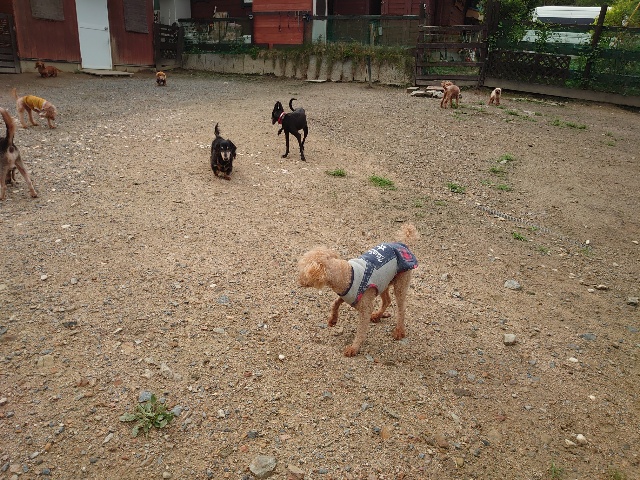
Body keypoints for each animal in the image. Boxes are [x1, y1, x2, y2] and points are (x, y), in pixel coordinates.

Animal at [298, 224, 419, 357]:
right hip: (384, 282)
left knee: (401, 308)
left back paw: (399, 331)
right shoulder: (348, 294)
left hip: (400, 283)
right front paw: (333, 320)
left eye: (303, 271)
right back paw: (377, 315)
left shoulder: (365, 308)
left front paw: (353, 348)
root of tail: (403, 244)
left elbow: (360, 331)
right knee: (387, 300)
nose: (299, 281)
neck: (346, 274)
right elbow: (335, 303)